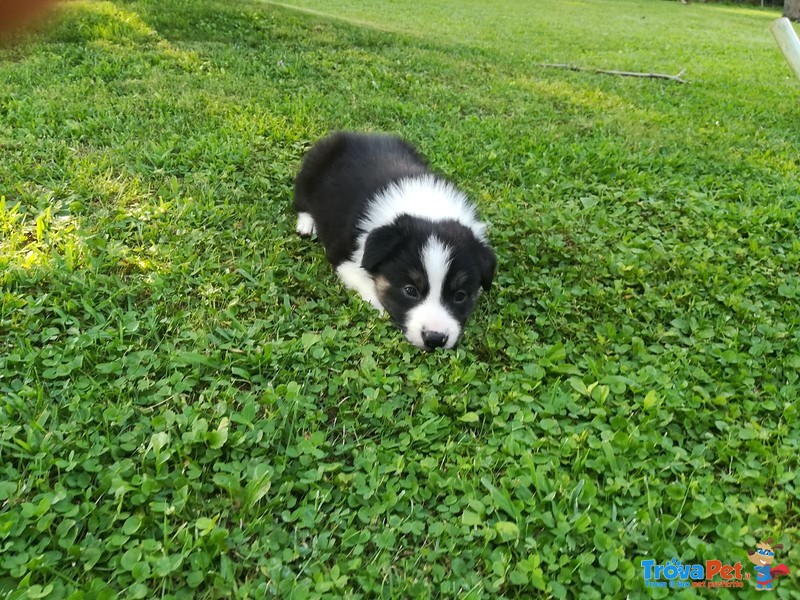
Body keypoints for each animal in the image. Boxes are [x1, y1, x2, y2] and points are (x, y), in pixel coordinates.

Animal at [294, 129, 494, 350]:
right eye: (410, 290)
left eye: (460, 295)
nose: (435, 339)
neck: (425, 207)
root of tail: (362, 134)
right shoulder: (342, 254)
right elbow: (365, 282)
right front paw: (382, 310)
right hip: (312, 168)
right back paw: (306, 224)